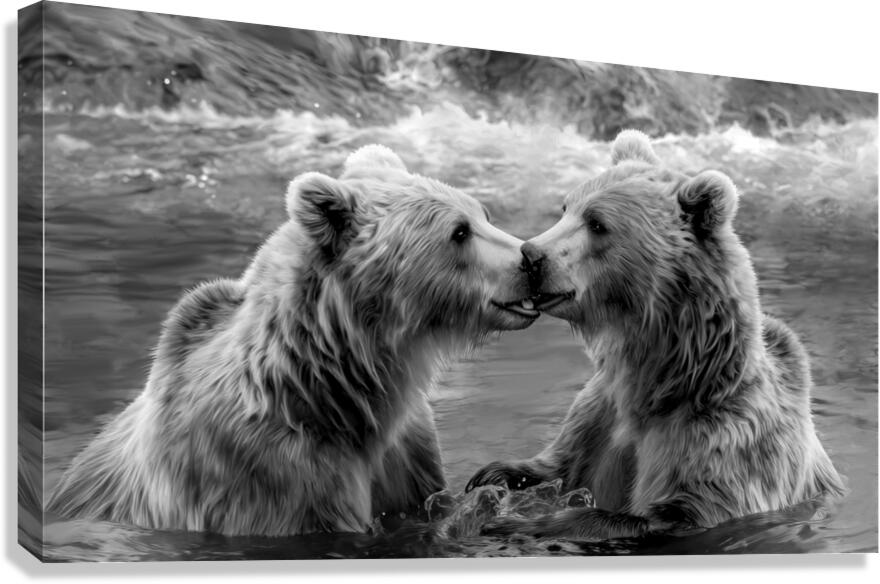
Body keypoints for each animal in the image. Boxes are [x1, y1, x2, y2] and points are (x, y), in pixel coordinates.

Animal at [47, 144, 539, 536]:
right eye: (459, 232)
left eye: (483, 214)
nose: (529, 258)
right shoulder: (273, 473)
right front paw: (487, 499)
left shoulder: (405, 453)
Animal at [466, 130, 846, 539]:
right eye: (565, 207)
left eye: (597, 223)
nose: (531, 255)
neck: (658, 383)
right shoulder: (598, 413)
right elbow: (561, 462)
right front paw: (490, 477)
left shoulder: (720, 440)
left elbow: (670, 512)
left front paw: (519, 522)